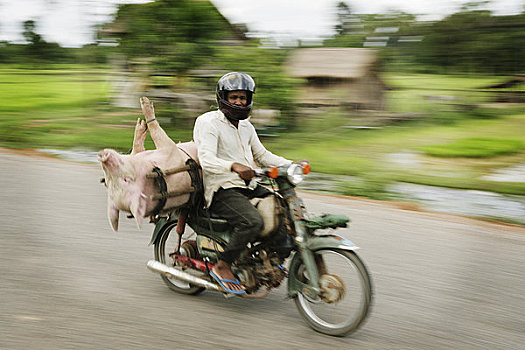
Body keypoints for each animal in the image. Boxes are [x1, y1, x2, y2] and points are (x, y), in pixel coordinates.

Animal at [97, 97, 198, 231]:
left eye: (107, 182)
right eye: (125, 179)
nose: (102, 156)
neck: (152, 167)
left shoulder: (145, 153)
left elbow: (137, 147)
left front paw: (140, 123)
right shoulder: (171, 153)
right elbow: (157, 132)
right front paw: (146, 104)